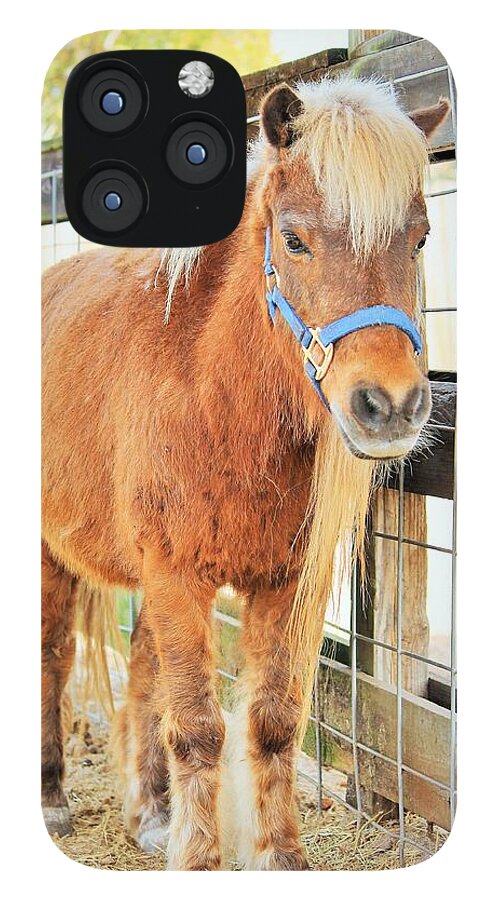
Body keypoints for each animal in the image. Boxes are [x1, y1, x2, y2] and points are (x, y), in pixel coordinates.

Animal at [41, 75, 449, 870]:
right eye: (292, 239)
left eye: (418, 238)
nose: (389, 406)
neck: (216, 396)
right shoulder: (176, 573)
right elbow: (199, 728)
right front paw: (200, 861)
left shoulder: (285, 584)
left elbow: (271, 721)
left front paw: (278, 859)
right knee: (52, 656)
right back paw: (51, 797)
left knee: (143, 668)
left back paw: (150, 813)